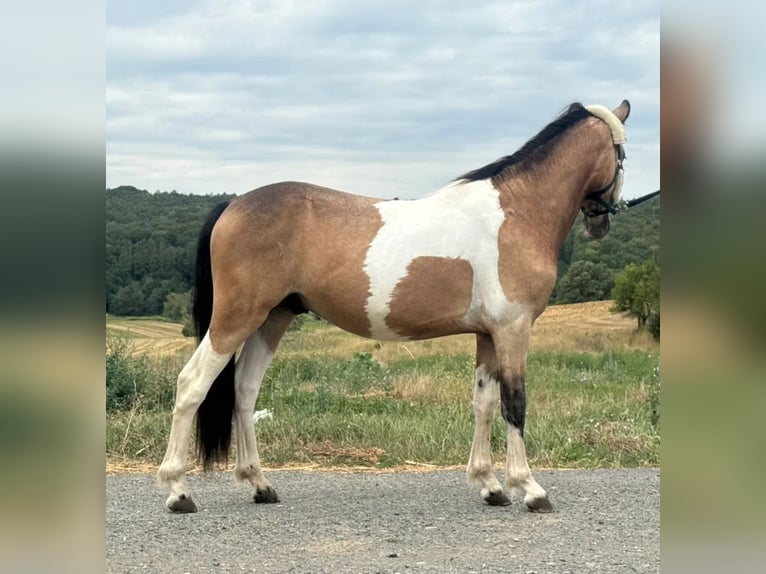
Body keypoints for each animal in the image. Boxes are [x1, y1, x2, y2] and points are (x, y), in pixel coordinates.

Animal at [157, 100, 631, 513]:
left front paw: (490, 486)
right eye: (622, 155)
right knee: (193, 384)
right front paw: (530, 488)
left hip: (271, 320)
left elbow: (484, 403)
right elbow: (515, 404)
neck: (515, 211)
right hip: (236, 318)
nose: (602, 221)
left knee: (244, 392)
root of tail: (232, 204)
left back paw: (260, 485)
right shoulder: (513, 329)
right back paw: (178, 491)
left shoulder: (488, 334)